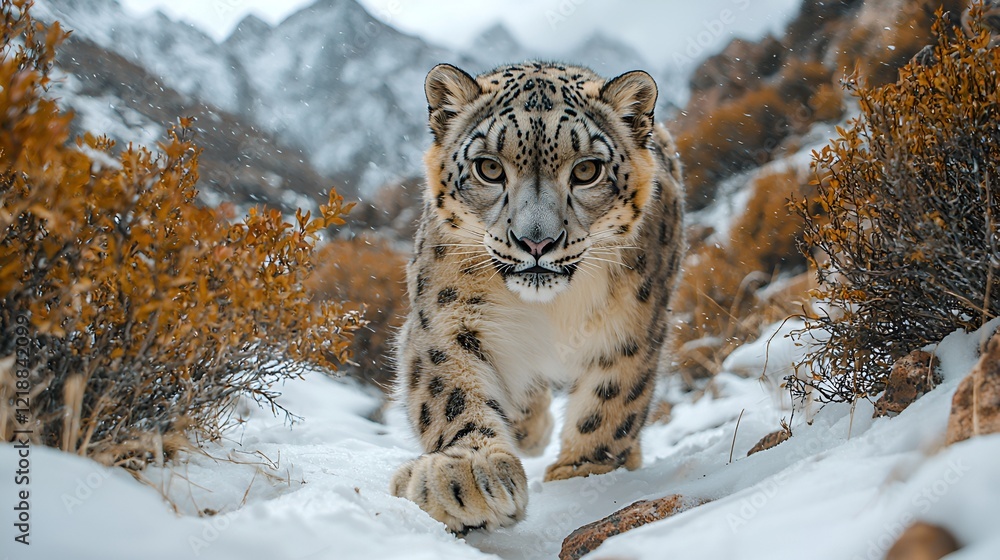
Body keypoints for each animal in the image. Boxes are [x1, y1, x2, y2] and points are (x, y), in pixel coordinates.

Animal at [389, 61, 685, 533]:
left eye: (586, 171)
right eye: (489, 168)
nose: (536, 242)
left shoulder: (633, 325)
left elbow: (611, 402)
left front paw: (584, 473)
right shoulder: (446, 316)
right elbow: (451, 390)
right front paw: (468, 474)